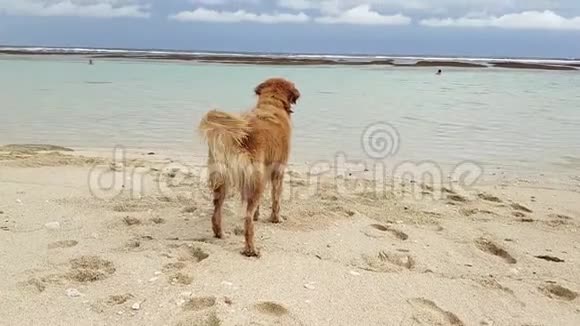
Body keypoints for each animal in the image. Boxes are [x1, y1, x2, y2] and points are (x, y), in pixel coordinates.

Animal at [198, 77, 302, 258]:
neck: (272, 104)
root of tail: (238, 137)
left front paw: (258, 216)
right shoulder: (278, 170)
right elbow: (276, 199)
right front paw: (276, 218)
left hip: (222, 178)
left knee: (217, 208)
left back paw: (219, 233)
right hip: (255, 179)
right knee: (246, 218)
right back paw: (251, 249)